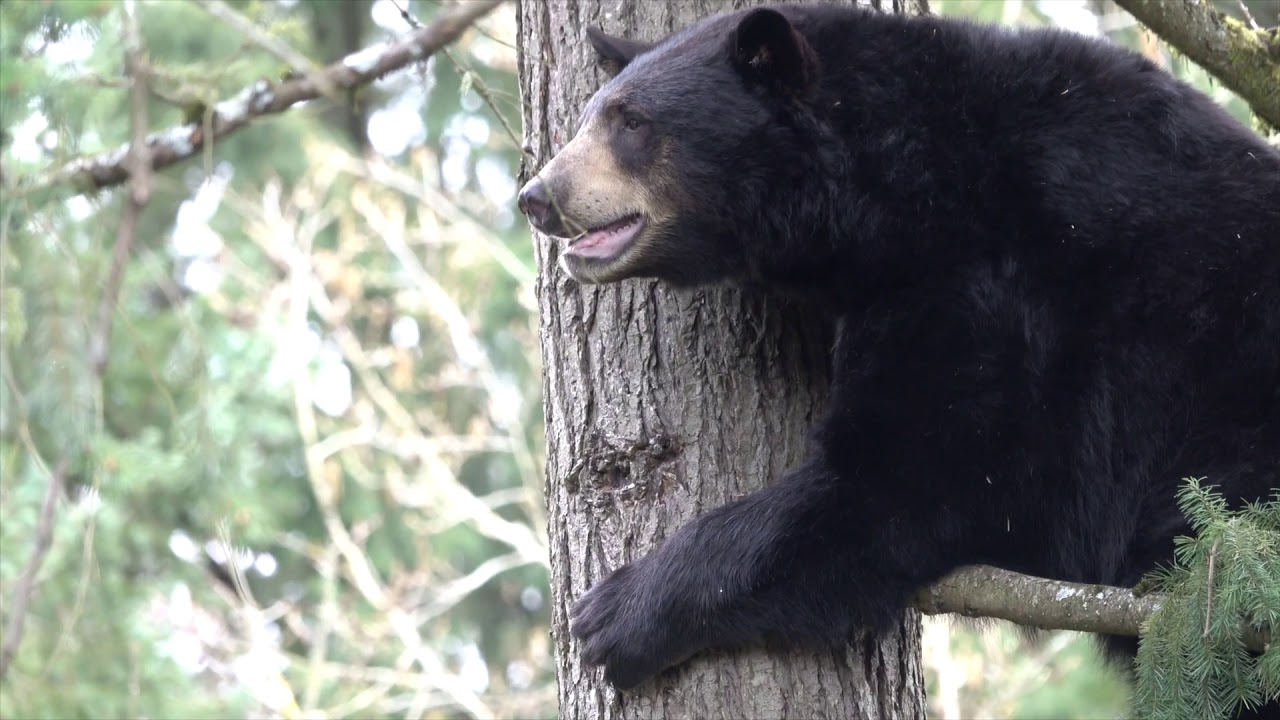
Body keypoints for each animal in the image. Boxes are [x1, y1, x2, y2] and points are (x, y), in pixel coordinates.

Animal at [512, 0, 1280, 696]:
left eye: (633, 123)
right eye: (592, 115)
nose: (537, 196)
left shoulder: (993, 279)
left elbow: (926, 466)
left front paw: (615, 614)